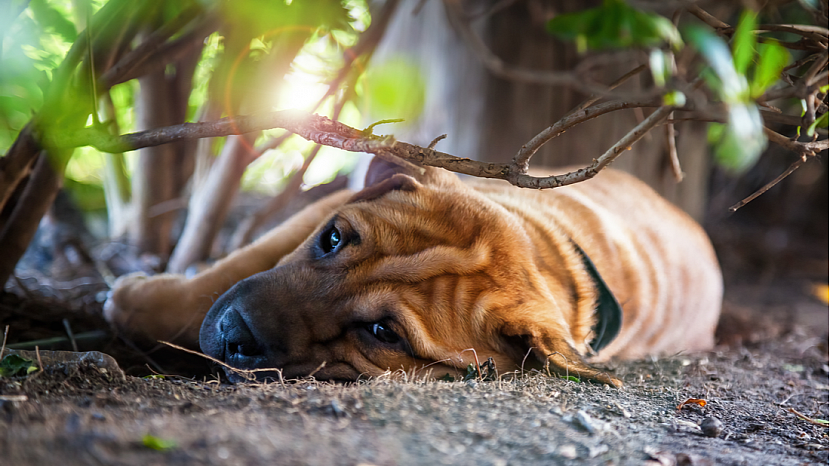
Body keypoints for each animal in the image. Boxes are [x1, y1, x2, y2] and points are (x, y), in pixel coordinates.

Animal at [104, 159, 724, 386]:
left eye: (384, 333)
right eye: (332, 239)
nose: (236, 333)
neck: (547, 253)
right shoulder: (316, 212)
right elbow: (231, 269)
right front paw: (144, 303)